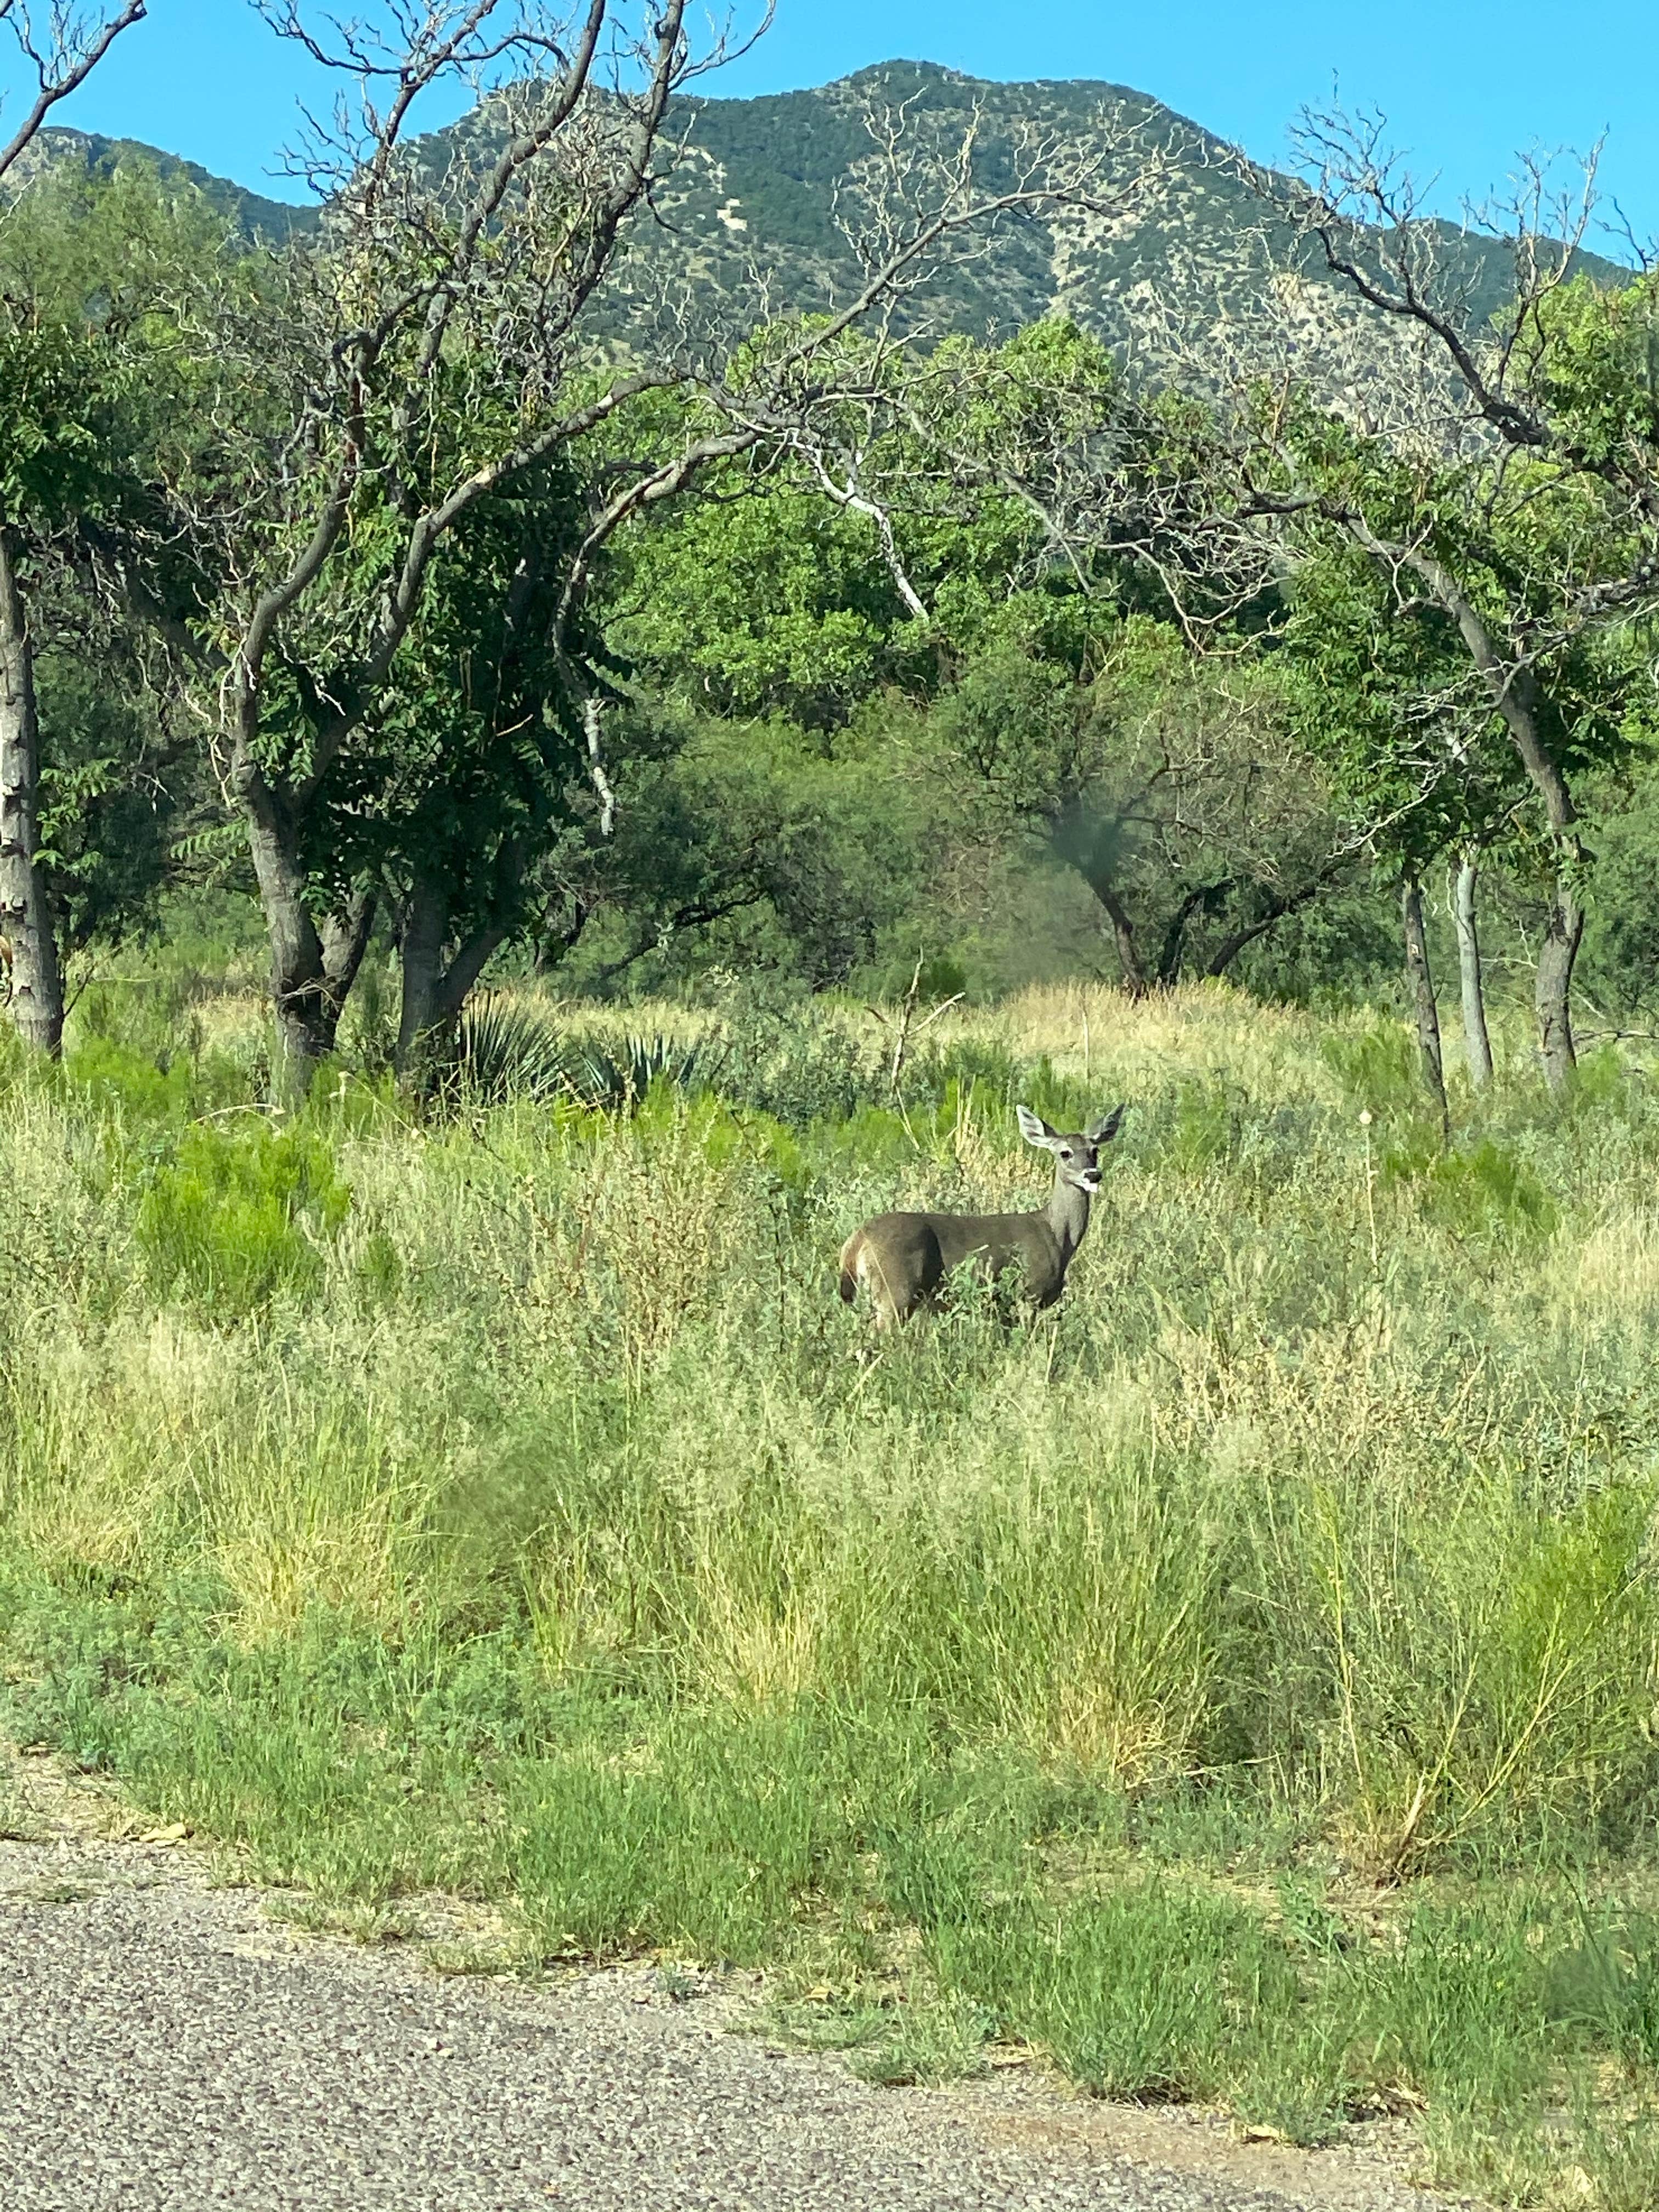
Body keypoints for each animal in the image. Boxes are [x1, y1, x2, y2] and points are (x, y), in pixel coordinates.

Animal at [845, 1106, 1132, 1327]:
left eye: (1095, 1151)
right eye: (1065, 1153)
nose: (1093, 1175)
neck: (1057, 1236)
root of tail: (856, 1241)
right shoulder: (1028, 1293)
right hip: (895, 1290)